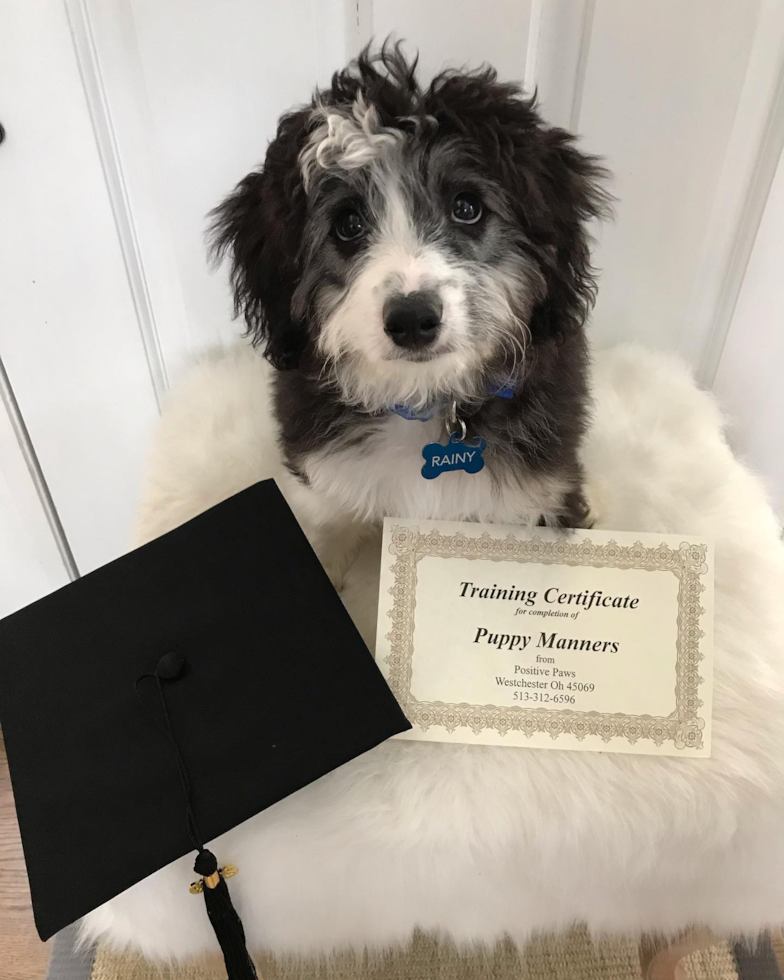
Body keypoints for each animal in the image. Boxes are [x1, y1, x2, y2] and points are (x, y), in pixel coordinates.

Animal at [211, 44, 608, 580]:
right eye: (348, 224)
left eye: (467, 207)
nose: (413, 319)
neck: (421, 399)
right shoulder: (322, 489)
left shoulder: (537, 497)